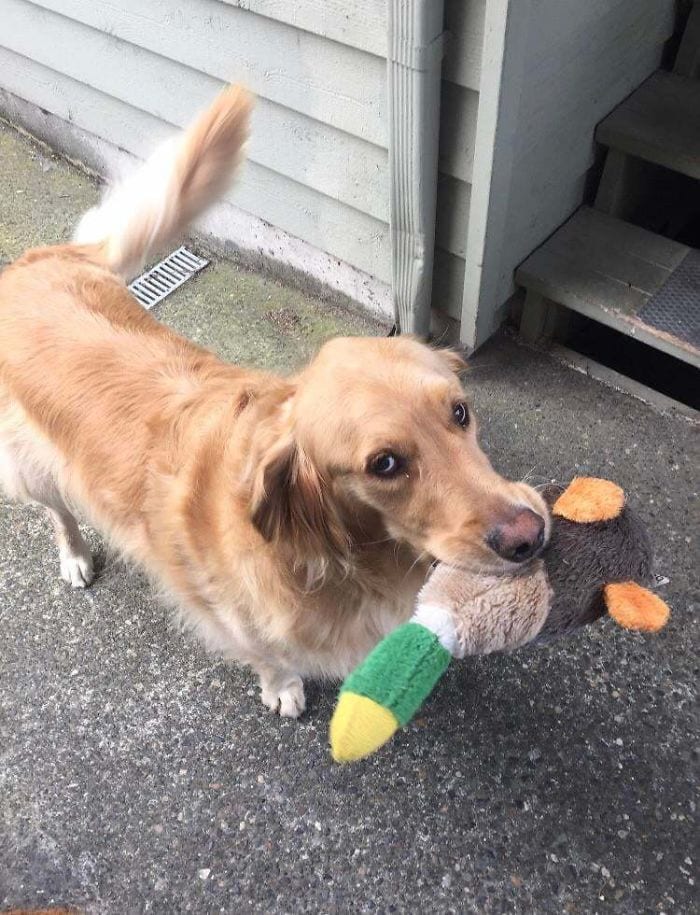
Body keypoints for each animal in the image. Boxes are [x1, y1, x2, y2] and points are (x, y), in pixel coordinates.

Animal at [0, 86, 548, 716]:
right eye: (384, 464)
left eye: (460, 412)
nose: (529, 535)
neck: (330, 554)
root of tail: (39, 261)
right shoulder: (230, 614)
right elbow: (268, 655)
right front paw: (282, 688)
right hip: (29, 470)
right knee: (56, 510)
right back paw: (73, 555)